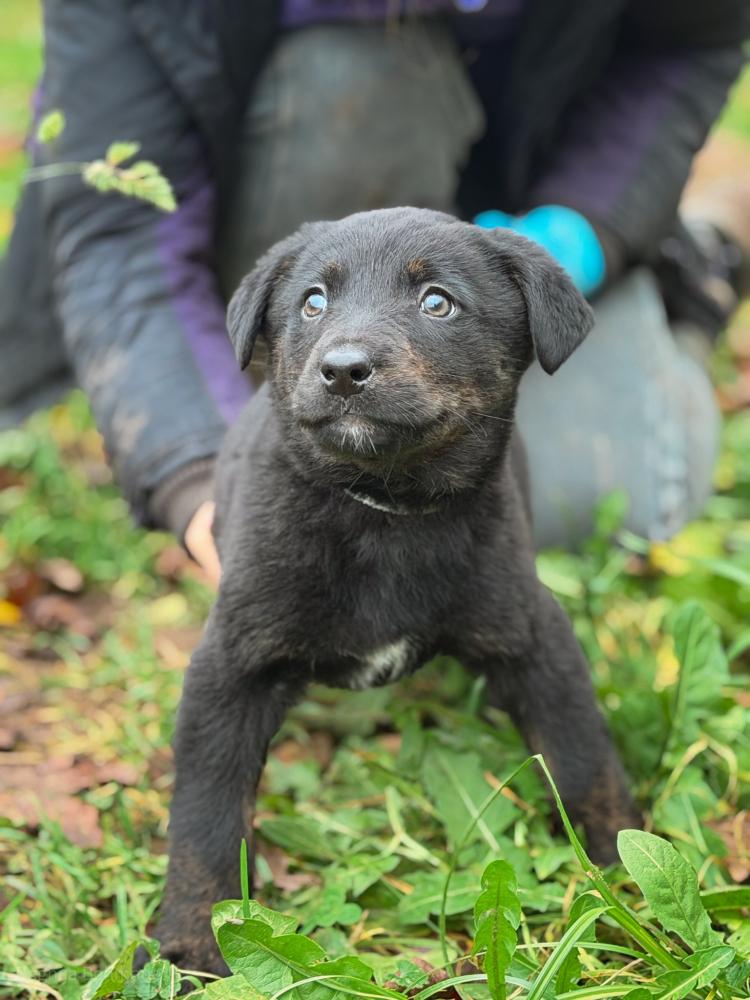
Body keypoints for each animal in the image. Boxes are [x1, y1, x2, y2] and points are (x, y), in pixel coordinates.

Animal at [153, 207, 640, 973]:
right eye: (313, 302)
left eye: (437, 302)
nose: (342, 370)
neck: (383, 509)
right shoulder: (231, 664)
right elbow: (206, 816)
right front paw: (192, 942)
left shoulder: (533, 632)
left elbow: (585, 758)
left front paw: (621, 879)